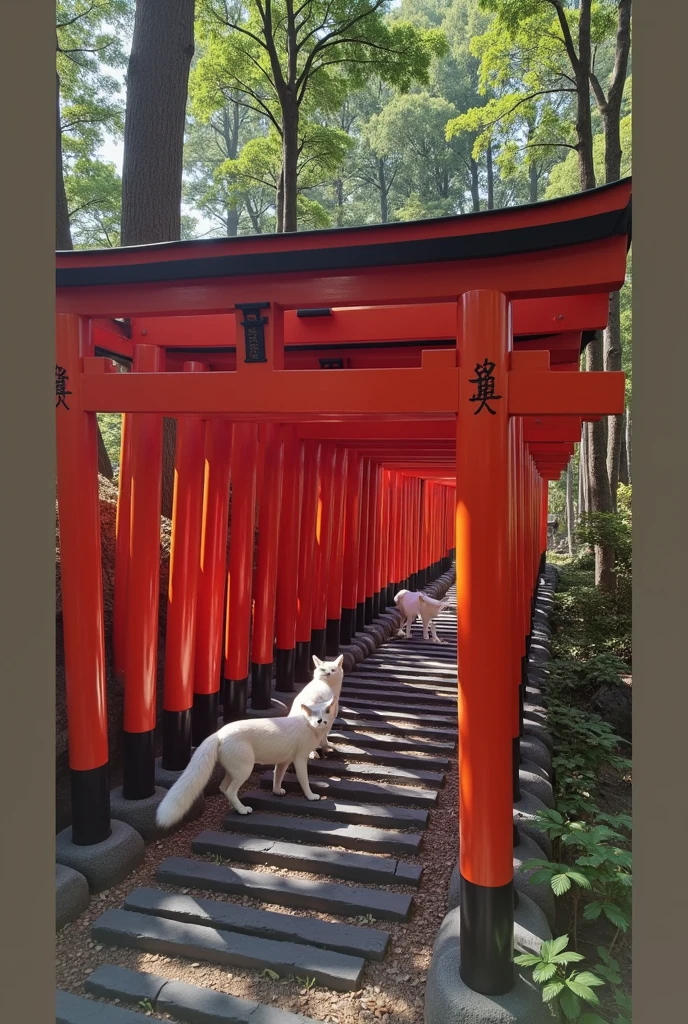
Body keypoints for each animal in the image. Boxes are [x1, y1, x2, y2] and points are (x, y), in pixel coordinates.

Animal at [156, 692, 337, 827]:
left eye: (326, 712)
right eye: (313, 715)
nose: (320, 721)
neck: (309, 727)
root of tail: (218, 734)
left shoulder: (284, 761)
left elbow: (277, 776)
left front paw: (277, 791)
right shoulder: (299, 759)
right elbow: (304, 780)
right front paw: (311, 796)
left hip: (234, 771)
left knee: (223, 788)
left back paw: (238, 808)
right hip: (245, 770)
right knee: (230, 790)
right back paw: (243, 810)